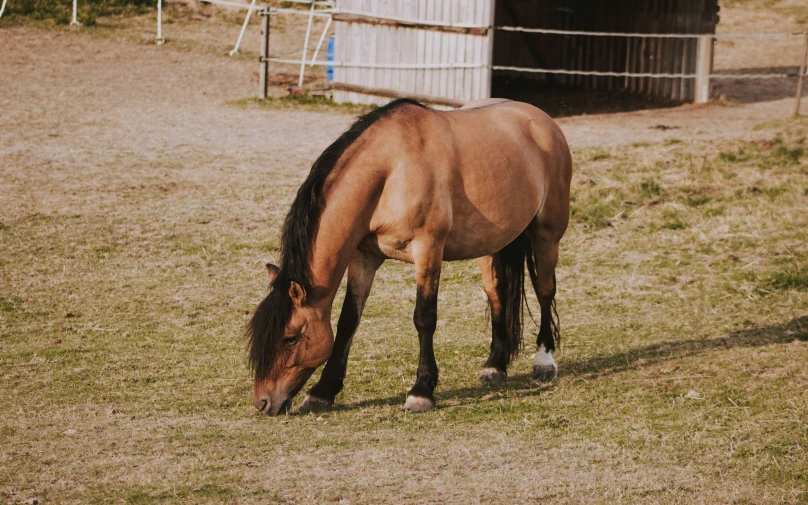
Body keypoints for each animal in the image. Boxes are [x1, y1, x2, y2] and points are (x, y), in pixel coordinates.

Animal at [249, 96, 572, 416]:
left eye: (290, 338)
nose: (263, 402)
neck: (391, 170)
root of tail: (542, 120)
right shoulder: (364, 258)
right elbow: (348, 320)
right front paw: (322, 392)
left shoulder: (428, 249)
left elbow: (424, 318)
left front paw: (421, 392)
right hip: (489, 244)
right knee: (497, 293)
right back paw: (495, 366)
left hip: (546, 234)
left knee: (545, 291)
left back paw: (544, 361)